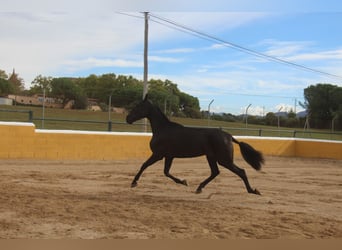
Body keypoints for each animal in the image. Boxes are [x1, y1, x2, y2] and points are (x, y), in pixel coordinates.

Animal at [125, 95, 264, 195]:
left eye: (138, 107)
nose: (127, 119)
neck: (163, 129)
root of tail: (229, 136)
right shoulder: (169, 156)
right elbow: (166, 172)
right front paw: (183, 182)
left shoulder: (158, 154)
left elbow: (144, 165)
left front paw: (133, 183)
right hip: (211, 157)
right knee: (215, 172)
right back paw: (199, 188)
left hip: (224, 160)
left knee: (241, 171)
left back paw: (253, 191)